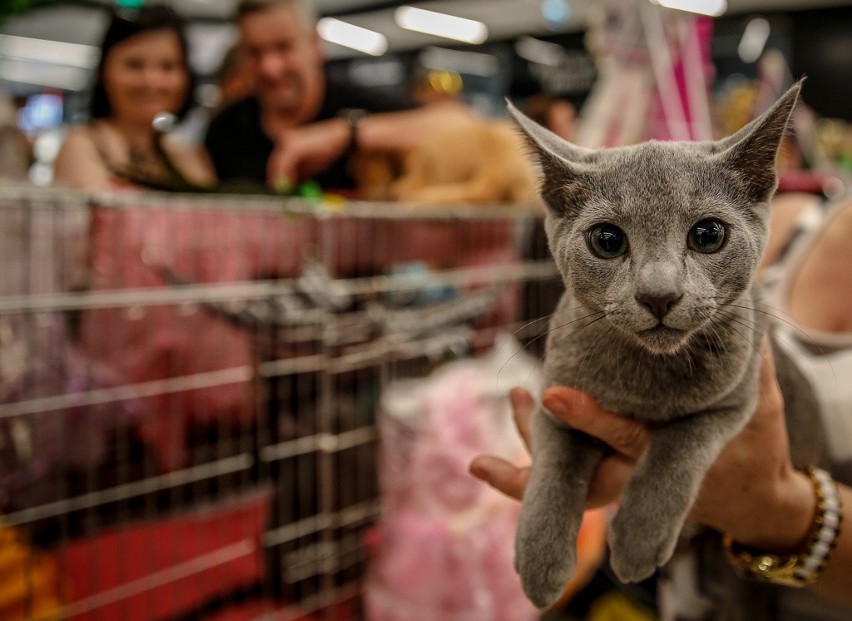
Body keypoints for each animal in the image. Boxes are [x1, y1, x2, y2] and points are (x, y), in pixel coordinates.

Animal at [506, 80, 824, 608]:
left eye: (708, 235)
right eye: (607, 240)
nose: (659, 294)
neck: (646, 381)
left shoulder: (735, 399)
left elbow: (678, 446)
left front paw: (637, 538)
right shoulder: (558, 397)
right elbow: (554, 464)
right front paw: (539, 560)